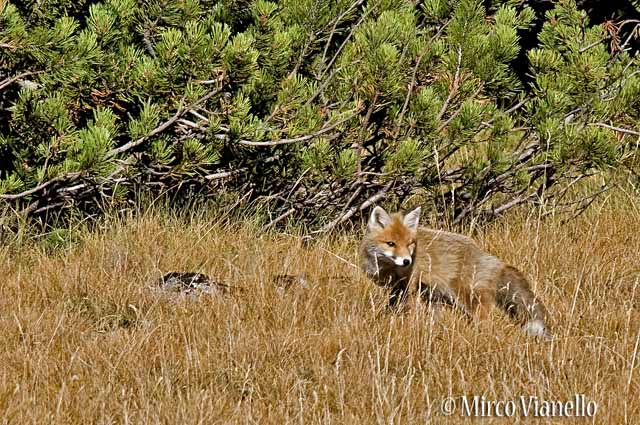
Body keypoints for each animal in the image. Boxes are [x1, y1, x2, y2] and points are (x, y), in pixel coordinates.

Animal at [360, 205, 551, 340]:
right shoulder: (396, 289)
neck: (386, 267)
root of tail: (496, 261)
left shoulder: (409, 287)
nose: (407, 261)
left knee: (487, 326)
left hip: (468, 301)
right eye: (391, 243)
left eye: (409, 244)